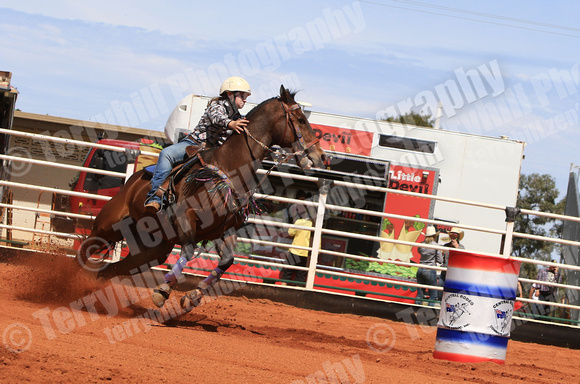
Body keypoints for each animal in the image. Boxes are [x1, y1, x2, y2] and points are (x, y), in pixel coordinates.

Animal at [77, 85, 326, 312]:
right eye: (301, 120)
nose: (321, 156)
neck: (229, 168)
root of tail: (133, 180)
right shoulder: (185, 218)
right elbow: (187, 252)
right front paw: (163, 290)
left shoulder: (224, 231)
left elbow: (227, 261)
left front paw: (193, 296)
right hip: (107, 226)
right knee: (85, 252)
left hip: (151, 250)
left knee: (110, 271)